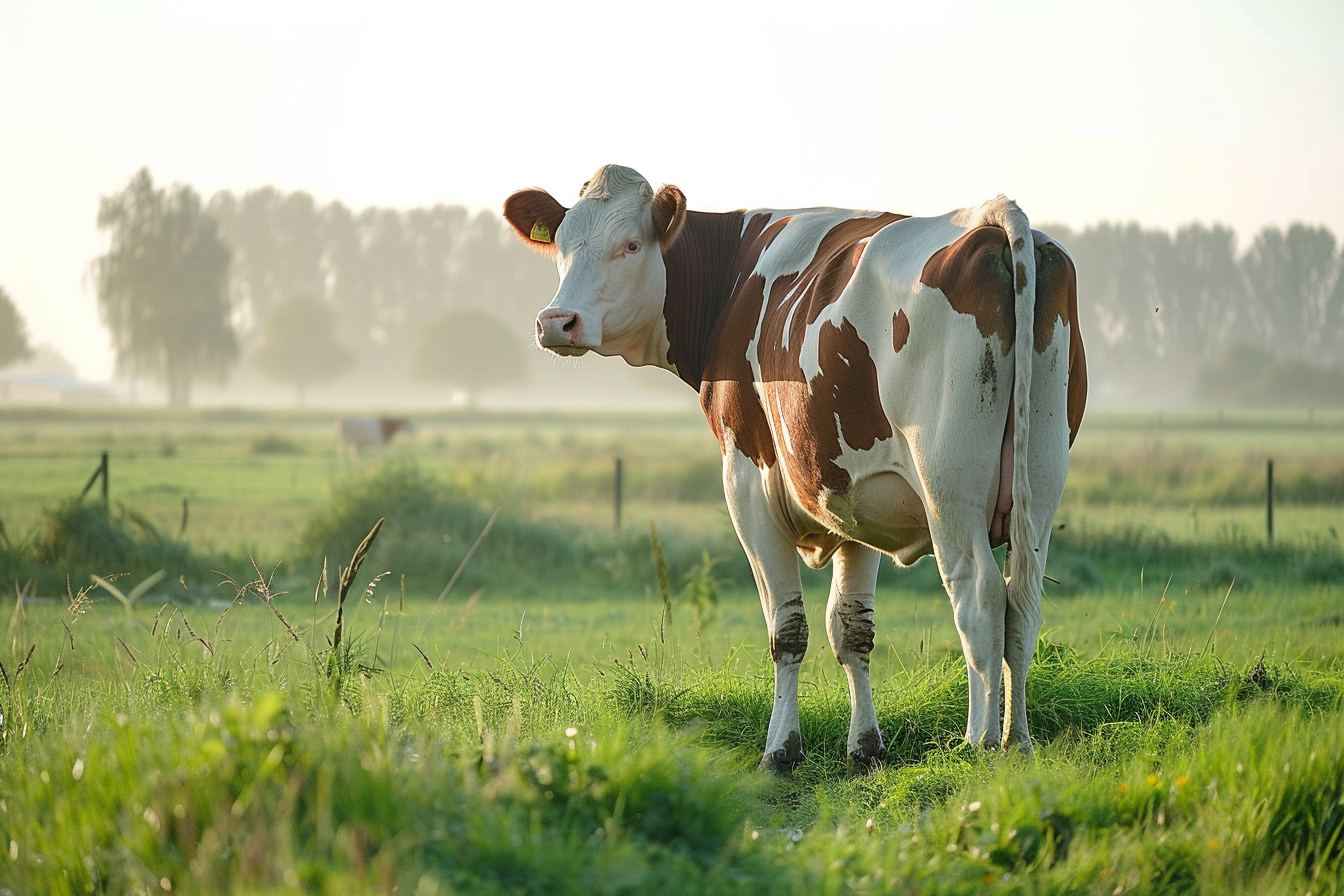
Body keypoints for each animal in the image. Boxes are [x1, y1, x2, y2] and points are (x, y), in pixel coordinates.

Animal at [505, 164, 1086, 772]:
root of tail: (992, 222)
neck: (733, 280)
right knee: (1022, 603)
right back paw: (1017, 740)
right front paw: (865, 748)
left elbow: (787, 629)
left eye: (631, 245)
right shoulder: (853, 490)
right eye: (562, 245)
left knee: (979, 598)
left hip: (950, 488)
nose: (557, 321)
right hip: (1039, 484)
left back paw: (980, 743)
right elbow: (851, 629)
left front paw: (779, 751)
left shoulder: (746, 483)